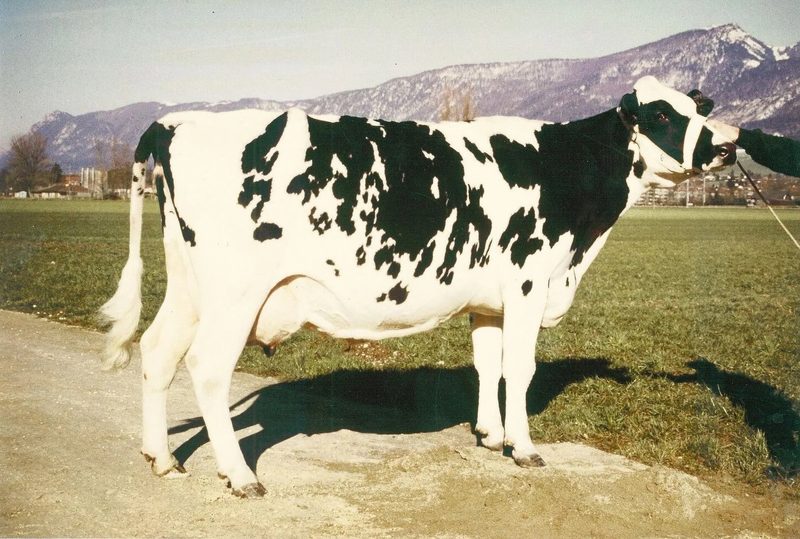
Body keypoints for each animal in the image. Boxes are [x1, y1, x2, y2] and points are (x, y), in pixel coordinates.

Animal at [101, 76, 736, 497]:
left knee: (157, 351)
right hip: (236, 292)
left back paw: (162, 458)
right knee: (207, 368)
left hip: (189, 285)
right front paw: (525, 449)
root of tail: (179, 120)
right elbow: (520, 368)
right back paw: (238, 475)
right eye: (663, 116)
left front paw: (490, 436)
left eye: (697, 108)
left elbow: (488, 364)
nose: (727, 145)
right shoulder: (528, 283)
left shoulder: (489, 300)